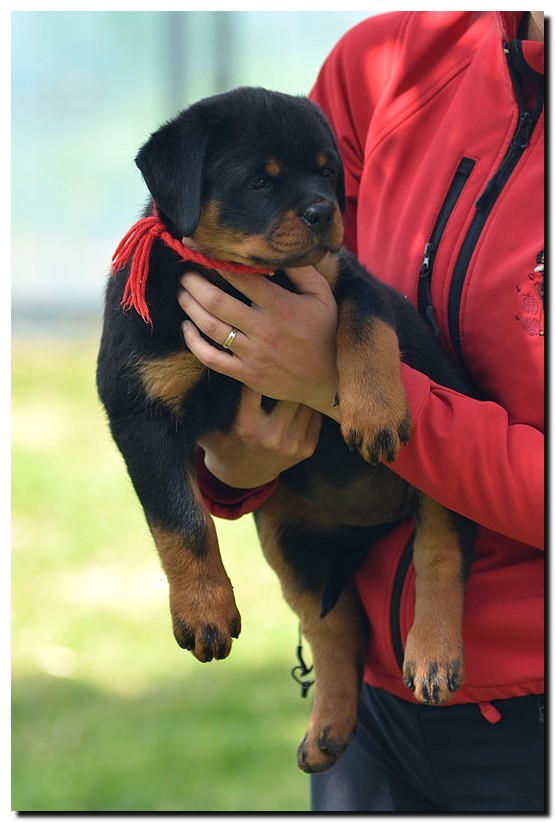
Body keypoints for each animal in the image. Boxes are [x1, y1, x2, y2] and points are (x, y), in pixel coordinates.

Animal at [97, 87, 476, 776]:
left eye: (327, 171)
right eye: (258, 180)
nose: (324, 211)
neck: (243, 278)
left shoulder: (342, 274)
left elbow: (363, 319)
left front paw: (374, 410)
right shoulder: (138, 408)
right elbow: (180, 520)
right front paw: (204, 611)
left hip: (436, 473)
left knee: (440, 552)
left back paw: (433, 654)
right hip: (284, 532)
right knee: (335, 628)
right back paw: (326, 727)